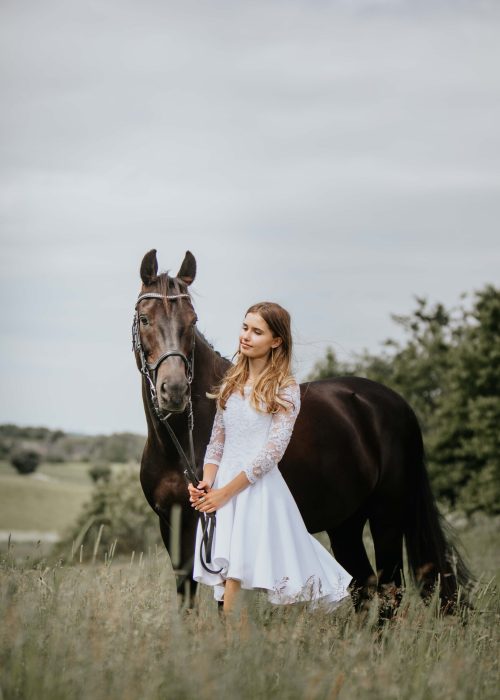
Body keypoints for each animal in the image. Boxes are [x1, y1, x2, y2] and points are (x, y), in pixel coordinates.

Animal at [134, 249, 472, 608]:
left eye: (193, 320)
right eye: (144, 319)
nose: (174, 391)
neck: (180, 445)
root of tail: (397, 404)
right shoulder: (173, 528)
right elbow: (186, 601)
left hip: (387, 517)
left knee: (390, 591)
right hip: (346, 522)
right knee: (363, 585)